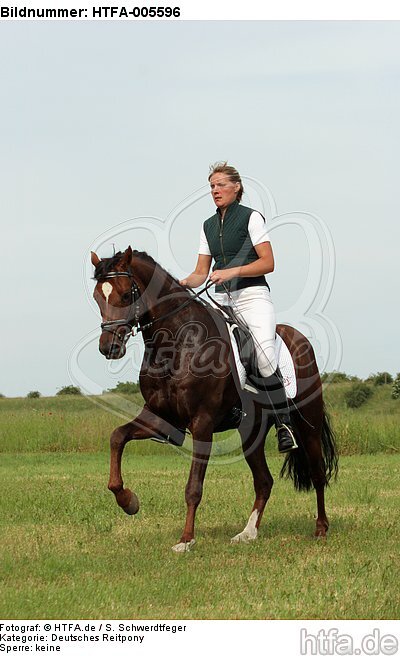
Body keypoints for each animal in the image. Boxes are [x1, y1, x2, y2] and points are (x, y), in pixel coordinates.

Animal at [91, 246, 338, 552]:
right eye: (97, 297)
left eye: (126, 295)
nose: (109, 348)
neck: (176, 344)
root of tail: (301, 340)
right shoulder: (158, 417)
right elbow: (117, 437)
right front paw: (128, 501)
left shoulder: (202, 423)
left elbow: (193, 487)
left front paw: (186, 539)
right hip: (250, 433)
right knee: (264, 482)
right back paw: (248, 533)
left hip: (308, 425)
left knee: (317, 473)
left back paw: (321, 528)